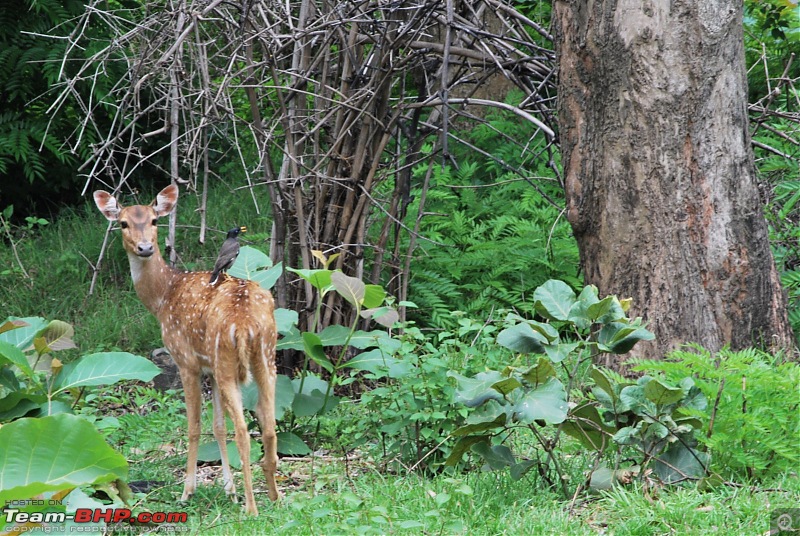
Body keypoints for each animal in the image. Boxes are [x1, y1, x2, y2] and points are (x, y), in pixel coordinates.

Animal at [94, 184, 280, 516]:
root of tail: (246, 323)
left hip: (227, 361)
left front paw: (187, 491)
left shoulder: (186, 360)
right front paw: (229, 490)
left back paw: (251, 507)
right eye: (123, 223)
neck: (163, 297)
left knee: (244, 429)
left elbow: (194, 426)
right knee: (268, 424)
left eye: (155, 220)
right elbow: (217, 426)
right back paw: (274, 497)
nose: (145, 247)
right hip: (266, 358)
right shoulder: (209, 369)